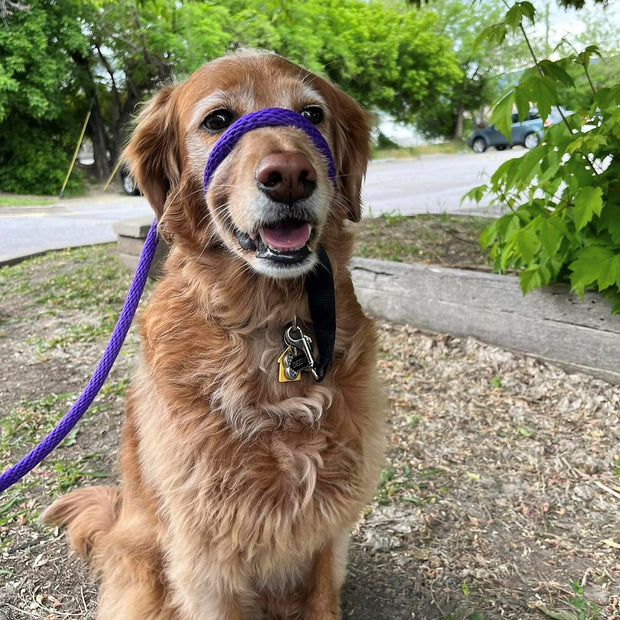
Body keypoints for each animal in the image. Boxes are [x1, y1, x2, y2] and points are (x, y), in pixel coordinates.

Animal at [42, 48, 382, 620]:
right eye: (217, 120)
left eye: (312, 115)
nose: (290, 175)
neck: (272, 320)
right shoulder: (204, 559)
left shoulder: (328, 533)